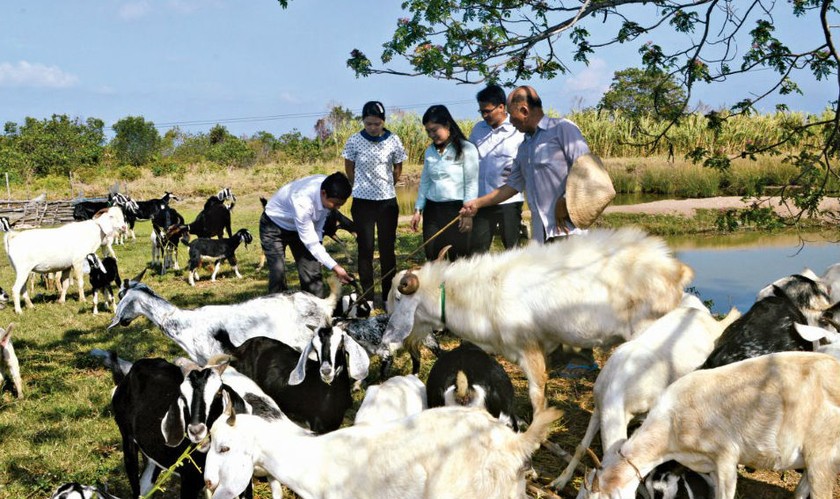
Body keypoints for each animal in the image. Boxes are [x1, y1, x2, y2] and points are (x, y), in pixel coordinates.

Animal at [384, 228, 692, 414]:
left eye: (398, 298)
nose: (388, 338)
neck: (482, 291)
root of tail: (674, 269)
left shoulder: (528, 347)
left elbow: (536, 392)